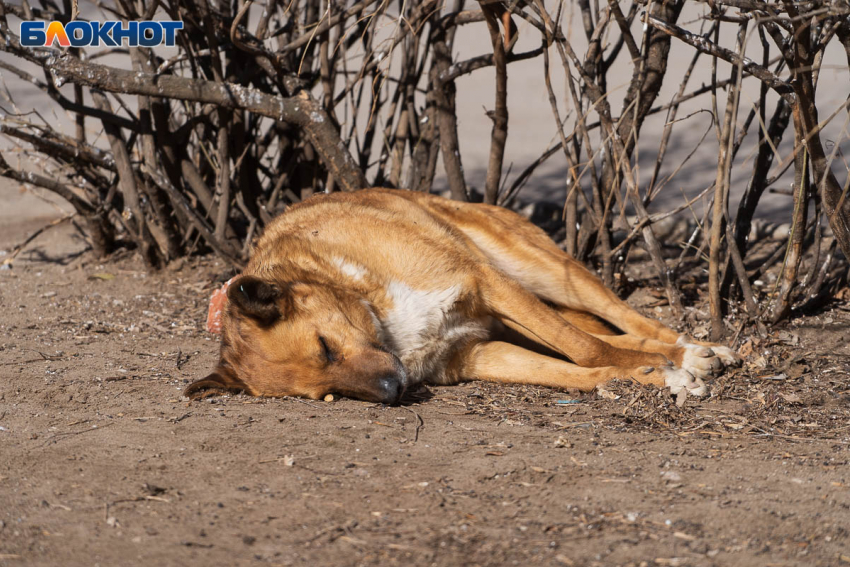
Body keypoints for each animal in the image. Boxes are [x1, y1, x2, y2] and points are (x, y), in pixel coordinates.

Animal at [186, 191, 736, 404]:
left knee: (619, 318)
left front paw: (670, 366)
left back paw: (691, 347)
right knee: (599, 331)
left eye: (325, 346)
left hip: (538, 272)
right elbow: (578, 369)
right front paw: (648, 377)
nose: (393, 391)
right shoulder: (475, 354)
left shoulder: (483, 283)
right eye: (329, 394)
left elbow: (585, 348)